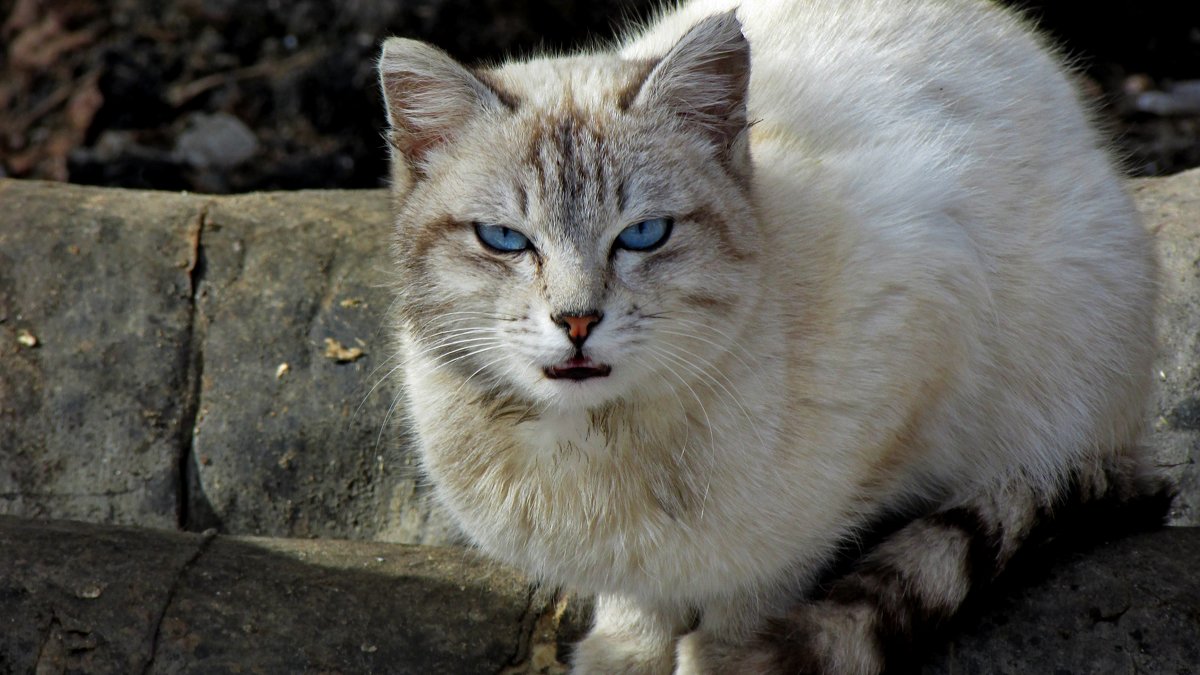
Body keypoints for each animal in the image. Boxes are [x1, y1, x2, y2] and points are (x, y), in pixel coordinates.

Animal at [372, 2, 1161, 667]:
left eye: (644, 235)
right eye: (505, 239)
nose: (576, 321)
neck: (594, 442)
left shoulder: (923, 327)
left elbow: (764, 576)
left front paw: (725, 654)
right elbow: (638, 594)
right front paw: (628, 652)